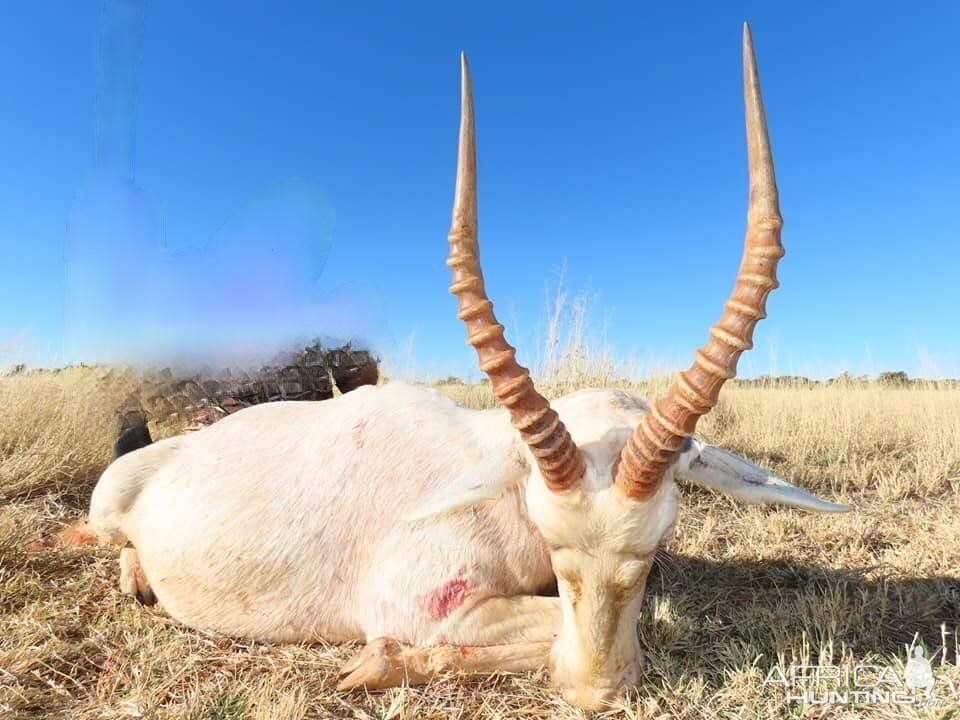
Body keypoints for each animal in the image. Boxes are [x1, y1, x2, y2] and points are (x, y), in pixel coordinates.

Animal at [88, 26, 848, 708]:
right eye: (550, 537)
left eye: (657, 542)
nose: (596, 691)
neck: (497, 483)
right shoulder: (428, 603)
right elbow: (541, 631)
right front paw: (381, 664)